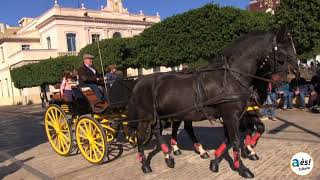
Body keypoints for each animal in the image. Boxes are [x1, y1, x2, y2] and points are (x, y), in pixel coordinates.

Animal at [129, 30, 298, 178]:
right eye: (282, 53)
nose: (295, 72)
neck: (231, 77)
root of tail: (140, 81)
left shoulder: (236, 115)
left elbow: (232, 138)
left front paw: (217, 161)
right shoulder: (231, 116)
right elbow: (235, 140)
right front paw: (243, 167)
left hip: (165, 115)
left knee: (159, 132)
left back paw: (170, 156)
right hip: (147, 117)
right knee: (140, 135)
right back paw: (145, 164)